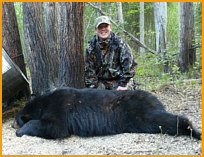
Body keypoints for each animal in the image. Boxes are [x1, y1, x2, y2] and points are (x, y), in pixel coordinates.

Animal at [12, 87, 201, 140]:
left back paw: (193, 131)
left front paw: (21, 130)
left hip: (136, 110)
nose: (12, 124)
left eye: (16, 118)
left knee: (162, 119)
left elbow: (55, 127)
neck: (43, 104)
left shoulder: (59, 107)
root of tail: (154, 98)